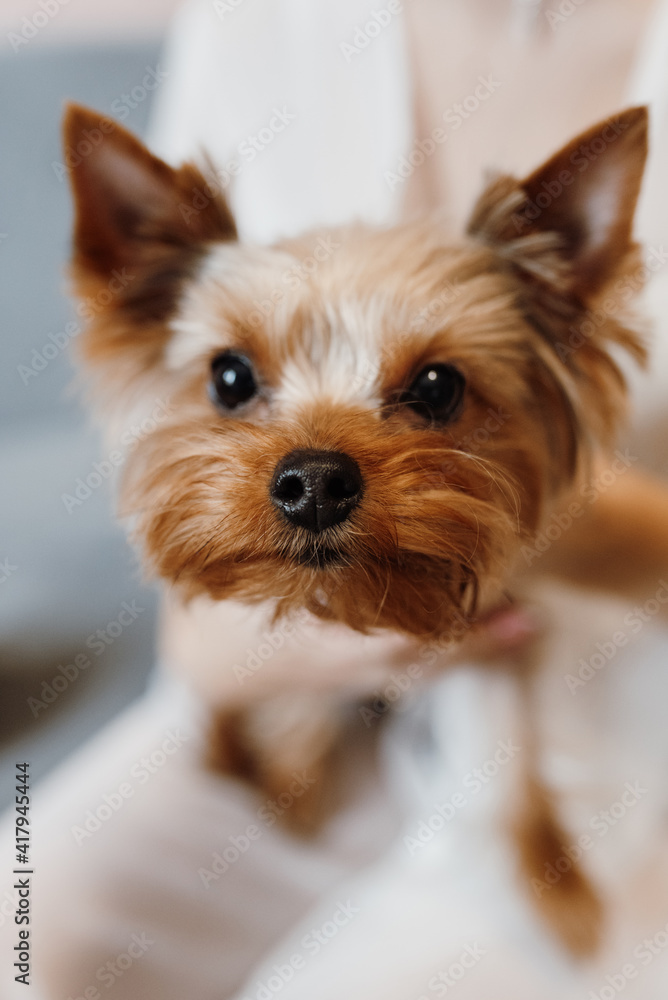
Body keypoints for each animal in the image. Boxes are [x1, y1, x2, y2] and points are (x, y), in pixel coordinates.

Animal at [64, 101, 664, 952]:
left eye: (439, 386)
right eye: (230, 376)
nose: (314, 482)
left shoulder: (496, 641)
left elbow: (507, 751)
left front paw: (554, 882)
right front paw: (283, 777)